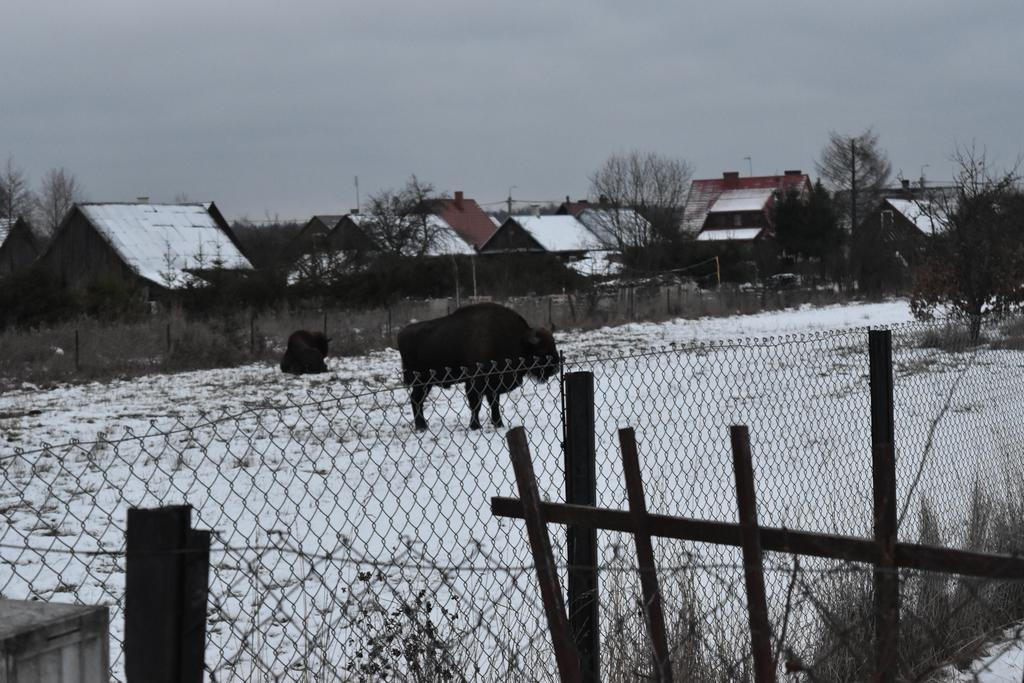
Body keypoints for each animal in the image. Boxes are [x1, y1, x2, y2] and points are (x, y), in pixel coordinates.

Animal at [397, 305, 561, 432]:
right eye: (542, 349)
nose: (556, 368)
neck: (519, 340)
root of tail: (402, 333)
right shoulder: (476, 381)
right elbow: (476, 404)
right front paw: (475, 426)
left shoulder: (494, 382)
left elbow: (494, 403)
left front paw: (498, 424)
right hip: (422, 381)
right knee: (416, 400)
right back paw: (422, 426)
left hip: (426, 383)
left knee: (416, 400)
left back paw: (422, 426)